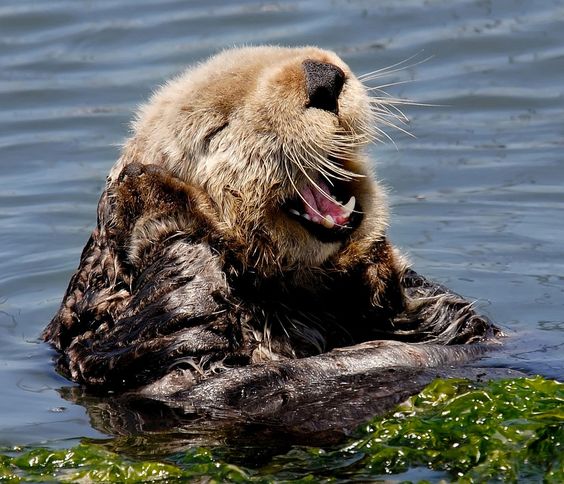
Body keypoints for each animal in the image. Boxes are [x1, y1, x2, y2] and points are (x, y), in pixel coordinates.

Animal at [44, 47, 498, 406]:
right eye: (217, 128)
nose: (323, 77)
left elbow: (450, 319)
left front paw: (377, 266)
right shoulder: (125, 356)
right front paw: (151, 193)